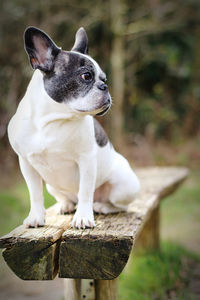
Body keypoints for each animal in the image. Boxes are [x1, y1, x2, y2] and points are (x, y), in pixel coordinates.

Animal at [7, 27, 139, 230]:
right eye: (86, 76)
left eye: (104, 78)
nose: (105, 86)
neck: (50, 121)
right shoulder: (26, 163)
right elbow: (35, 194)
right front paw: (36, 217)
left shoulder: (86, 160)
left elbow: (85, 191)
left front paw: (83, 217)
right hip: (52, 186)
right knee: (66, 197)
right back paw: (66, 205)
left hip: (124, 185)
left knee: (119, 205)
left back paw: (101, 206)